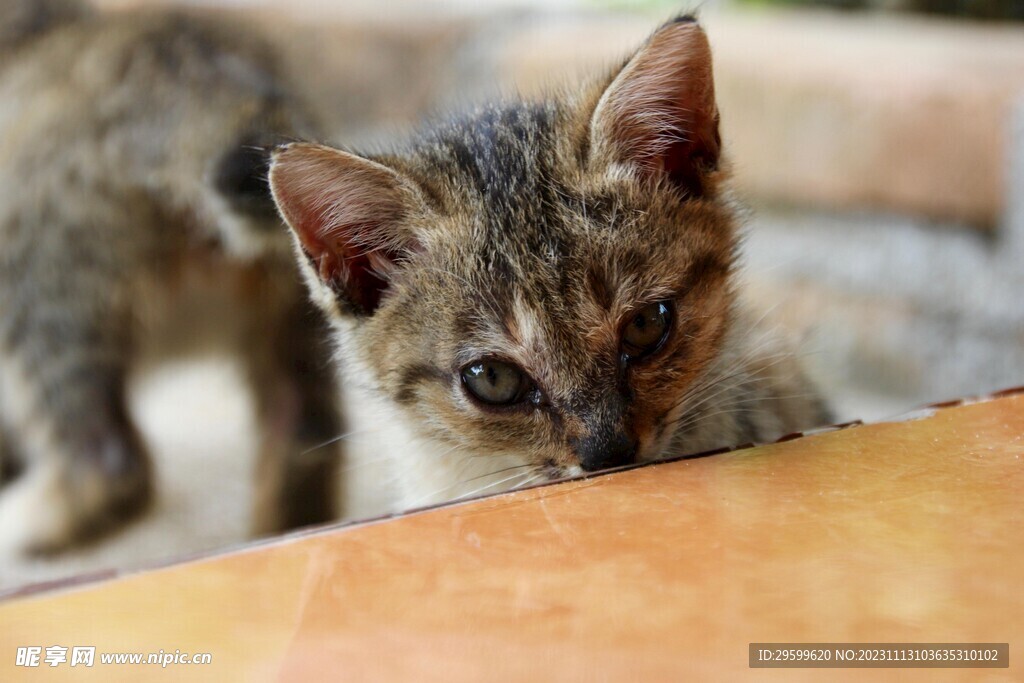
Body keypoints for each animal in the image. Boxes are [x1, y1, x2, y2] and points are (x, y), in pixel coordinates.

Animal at [1, 0, 344, 557]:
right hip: (295, 301)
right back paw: (282, 535)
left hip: (43, 294)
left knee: (109, 461)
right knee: (303, 435)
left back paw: (27, 524)